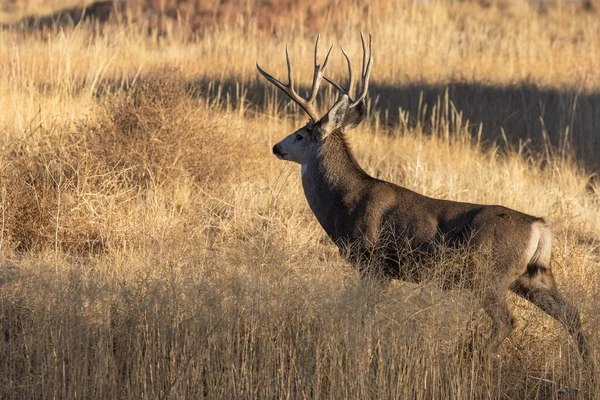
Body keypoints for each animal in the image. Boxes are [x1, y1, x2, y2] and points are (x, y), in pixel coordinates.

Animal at [255, 33, 588, 360]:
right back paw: (585, 364)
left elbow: (364, 314)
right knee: (571, 314)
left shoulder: (374, 262)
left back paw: (472, 359)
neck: (345, 203)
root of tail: (540, 226)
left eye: (300, 134)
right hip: (534, 277)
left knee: (508, 320)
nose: (276, 146)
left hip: (488, 275)